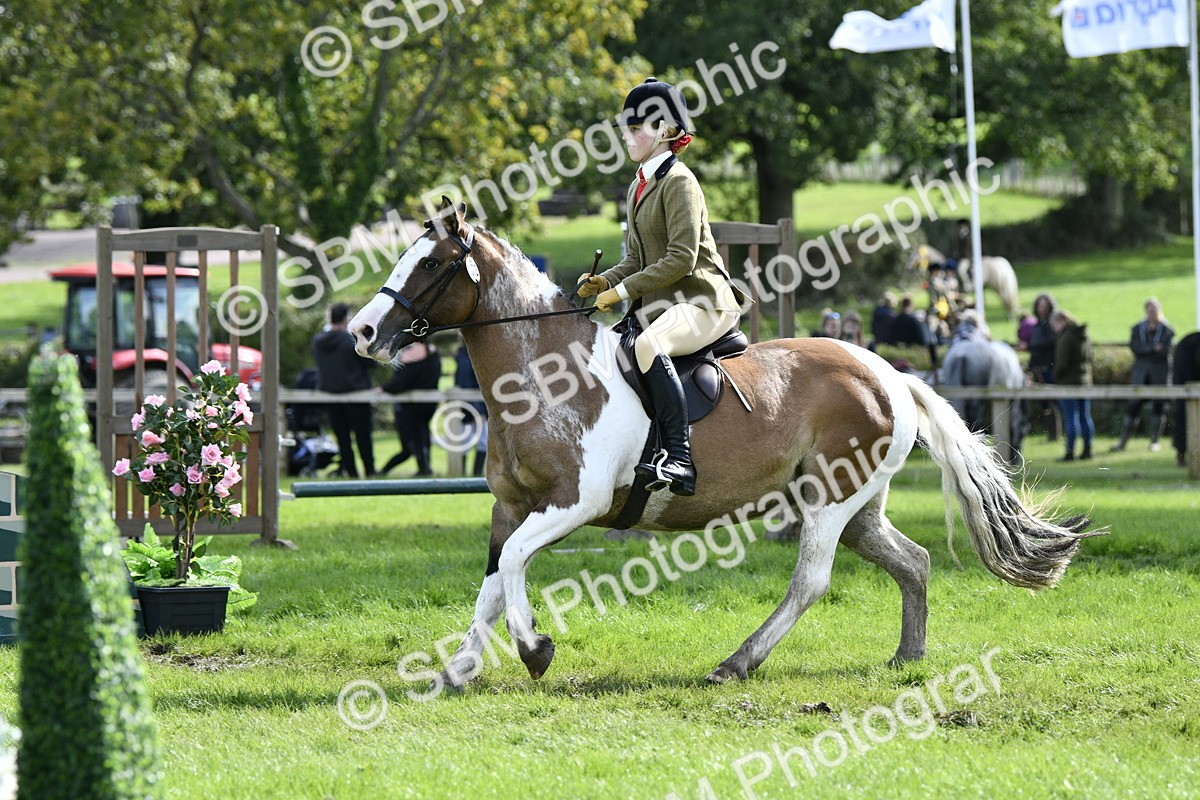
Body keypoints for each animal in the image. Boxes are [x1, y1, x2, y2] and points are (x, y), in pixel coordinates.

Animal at [349, 199, 1099, 689]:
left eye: (433, 264)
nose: (361, 333)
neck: (542, 374)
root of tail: (891, 373)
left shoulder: (573, 504)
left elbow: (511, 569)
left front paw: (534, 650)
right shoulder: (510, 507)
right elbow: (490, 584)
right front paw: (456, 672)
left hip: (830, 500)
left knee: (811, 580)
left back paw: (737, 662)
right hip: (857, 504)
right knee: (911, 561)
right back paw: (906, 658)